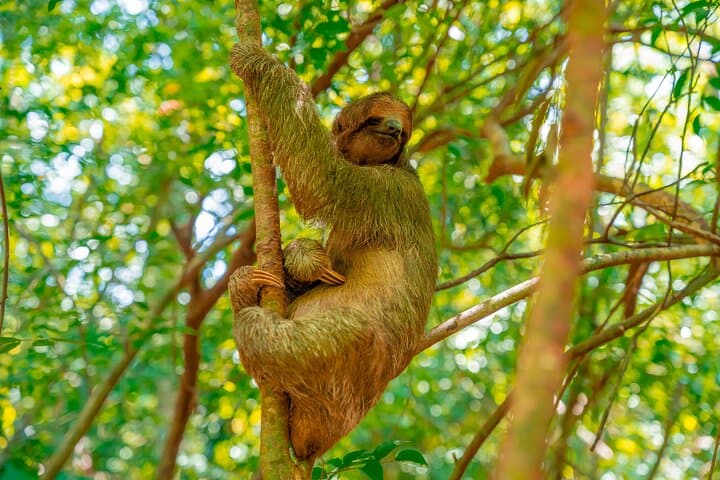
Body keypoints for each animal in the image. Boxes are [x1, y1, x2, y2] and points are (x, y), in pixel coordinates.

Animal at [228, 40, 437, 462]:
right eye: (377, 120)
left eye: (401, 129)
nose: (393, 129)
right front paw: (301, 258)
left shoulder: (381, 191)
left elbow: (322, 179)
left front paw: (262, 64)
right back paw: (243, 282)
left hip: (346, 350)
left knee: (263, 331)